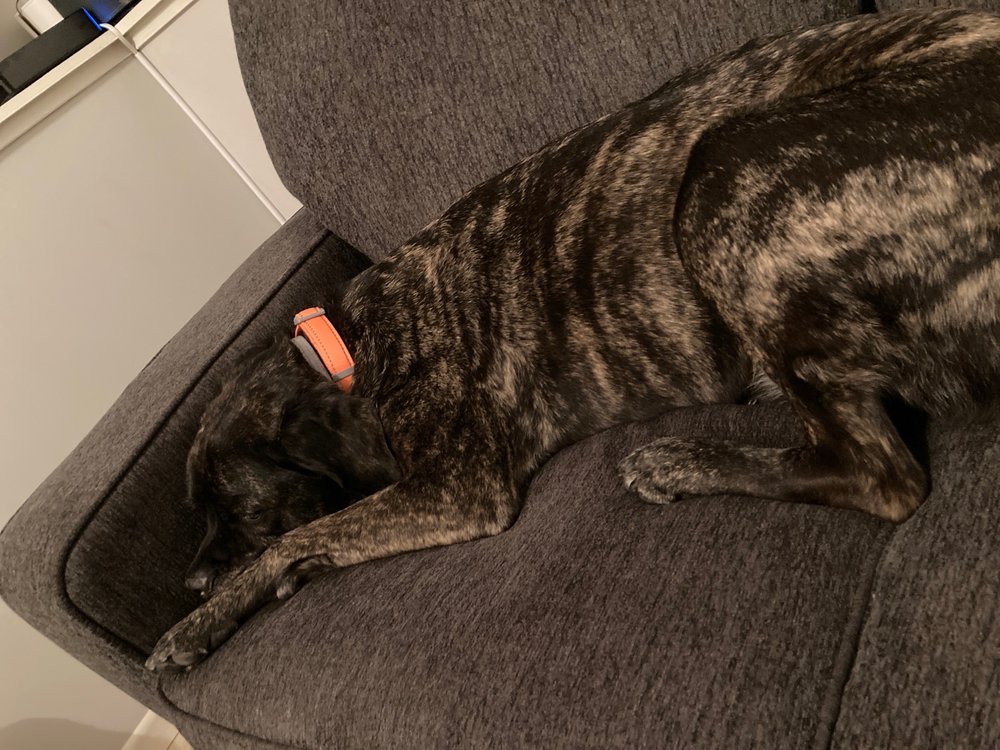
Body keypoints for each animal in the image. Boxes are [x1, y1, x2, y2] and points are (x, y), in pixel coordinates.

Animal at [147, 8, 1000, 671]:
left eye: (234, 502)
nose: (187, 582)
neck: (356, 342)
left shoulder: (458, 488)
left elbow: (295, 536)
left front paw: (201, 620)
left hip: (723, 168)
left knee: (883, 477)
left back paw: (680, 463)